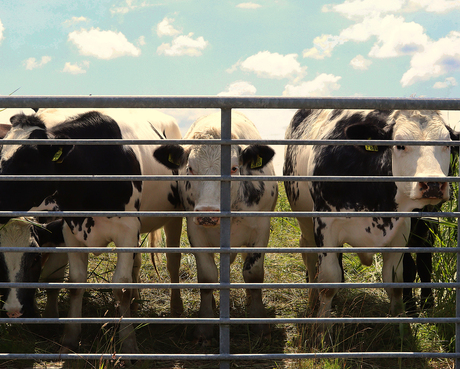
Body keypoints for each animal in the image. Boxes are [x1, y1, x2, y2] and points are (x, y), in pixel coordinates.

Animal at [0, 108, 183, 354]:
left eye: (25, 165)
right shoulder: (70, 231)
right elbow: (75, 283)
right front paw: (69, 339)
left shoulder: (126, 231)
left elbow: (121, 288)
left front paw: (129, 343)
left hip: (175, 216)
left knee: (173, 262)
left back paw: (176, 309)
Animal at [284, 108, 456, 320]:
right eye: (399, 145)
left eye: (447, 145)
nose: (433, 185)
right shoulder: (325, 225)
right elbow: (328, 281)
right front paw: (322, 324)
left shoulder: (402, 230)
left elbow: (396, 281)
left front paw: (401, 321)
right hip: (305, 221)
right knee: (309, 255)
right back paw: (311, 302)